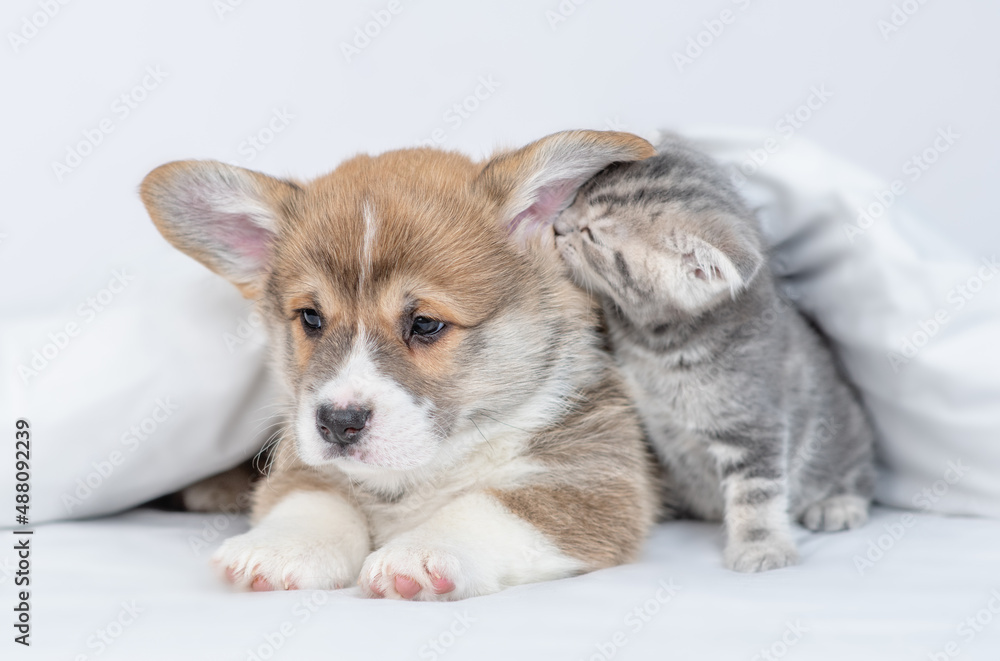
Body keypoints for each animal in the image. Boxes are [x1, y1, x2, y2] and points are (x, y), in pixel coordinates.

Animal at [139, 129, 656, 600]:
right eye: (310, 318)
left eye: (425, 323)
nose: (338, 423)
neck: (419, 473)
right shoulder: (302, 458)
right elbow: (314, 498)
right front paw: (281, 547)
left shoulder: (596, 484)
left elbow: (492, 507)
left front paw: (421, 554)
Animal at [556, 137, 876, 568]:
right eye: (576, 197)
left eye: (591, 235)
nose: (557, 224)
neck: (658, 348)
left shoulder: (754, 424)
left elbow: (756, 495)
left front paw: (761, 545)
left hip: (845, 432)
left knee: (861, 474)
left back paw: (839, 504)